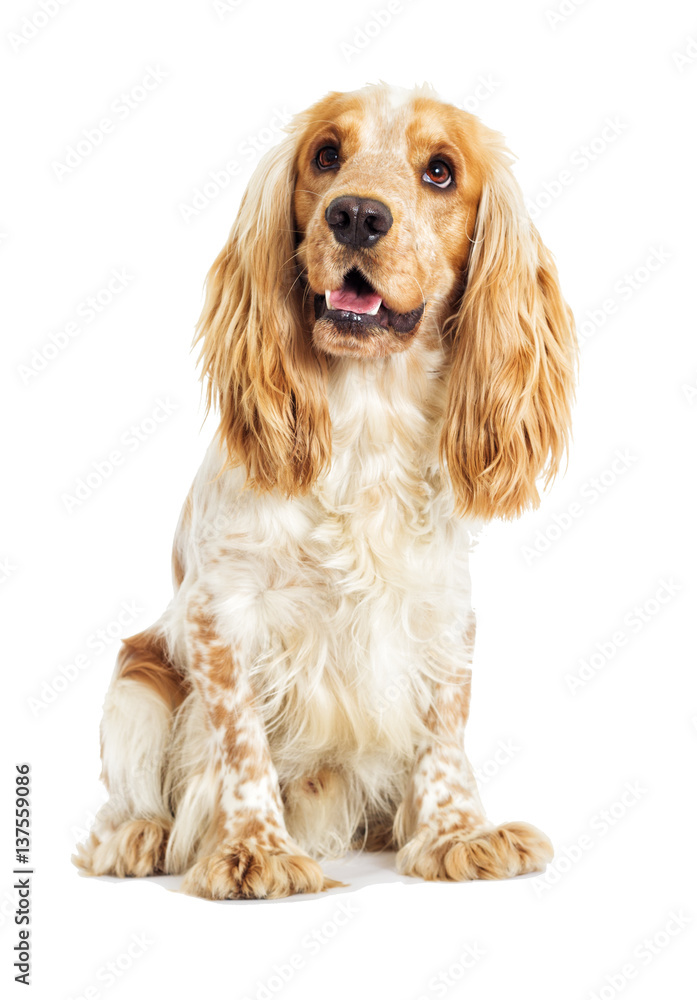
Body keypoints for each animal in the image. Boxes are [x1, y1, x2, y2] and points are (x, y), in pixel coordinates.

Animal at [75, 84, 576, 900]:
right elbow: (240, 744)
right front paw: (254, 850)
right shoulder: (223, 614)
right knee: (129, 796)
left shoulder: (442, 613)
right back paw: (140, 835)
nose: (357, 215)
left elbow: (444, 731)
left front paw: (456, 833)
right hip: (137, 683)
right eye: (326, 155)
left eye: (440, 171)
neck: (368, 418)